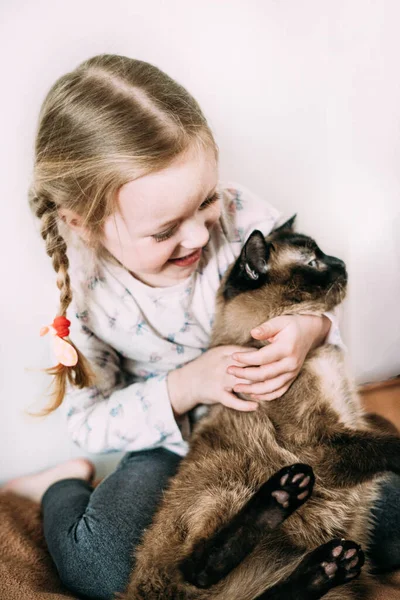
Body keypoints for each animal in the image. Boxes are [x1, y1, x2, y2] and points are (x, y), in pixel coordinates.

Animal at [119, 219, 400, 600]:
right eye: (313, 263)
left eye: (324, 255)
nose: (341, 263)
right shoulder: (320, 443)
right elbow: (384, 444)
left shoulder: (348, 419)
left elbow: (378, 433)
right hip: (221, 490)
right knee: (197, 568)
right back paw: (285, 495)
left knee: (270, 595)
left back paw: (331, 564)